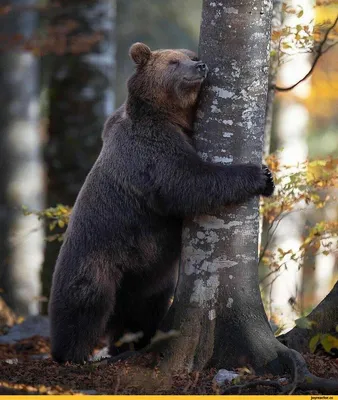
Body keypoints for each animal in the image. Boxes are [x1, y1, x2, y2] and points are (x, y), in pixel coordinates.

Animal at [48, 42, 274, 364]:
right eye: (173, 62)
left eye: (191, 56)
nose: (200, 66)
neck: (169, 116)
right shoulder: (151, 149)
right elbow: (186, 182)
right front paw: (260, 175)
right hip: (96, 254)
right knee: (85, 302)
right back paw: (72, 353)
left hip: (149, 275)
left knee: (141, 310)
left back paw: (131, 343)